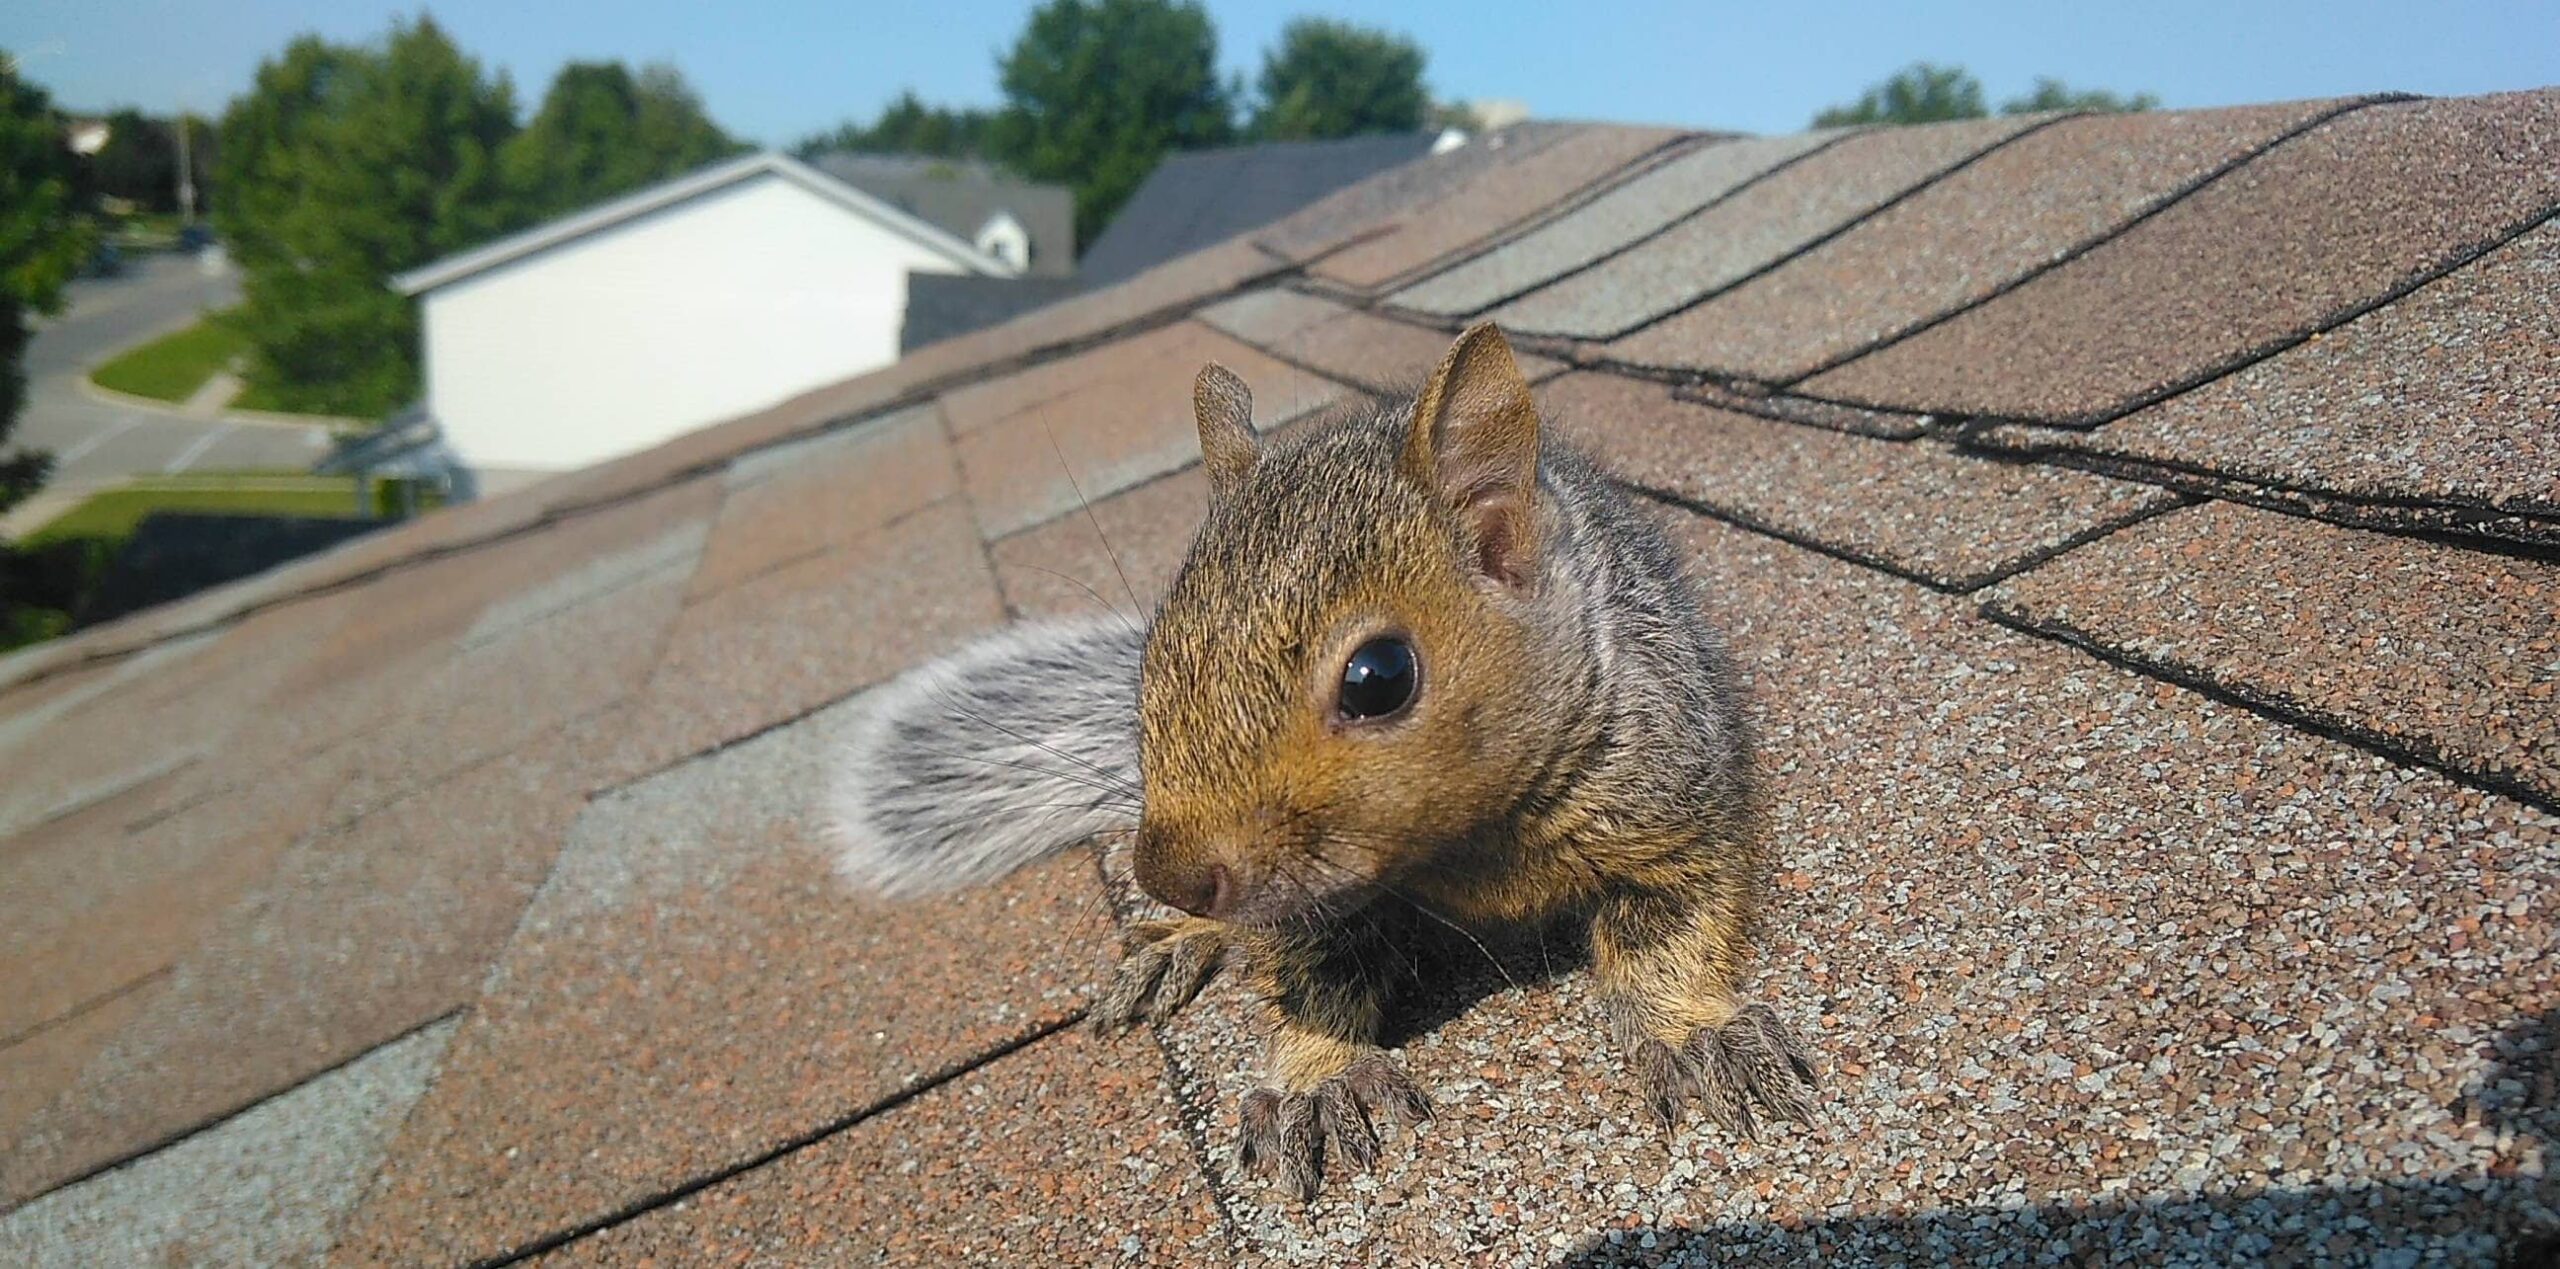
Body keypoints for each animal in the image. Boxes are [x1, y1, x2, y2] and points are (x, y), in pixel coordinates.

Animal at [829, 322, 1812, 1192]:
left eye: (1380, 677)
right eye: (1154, 657)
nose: (1168, 874)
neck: (1469, 839)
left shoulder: (1671, 796)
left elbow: (1671, 926)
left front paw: (1694, 1033)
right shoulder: (1309, 904)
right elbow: (1312, 975)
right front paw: (1319, 1077)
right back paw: (1180, 941)